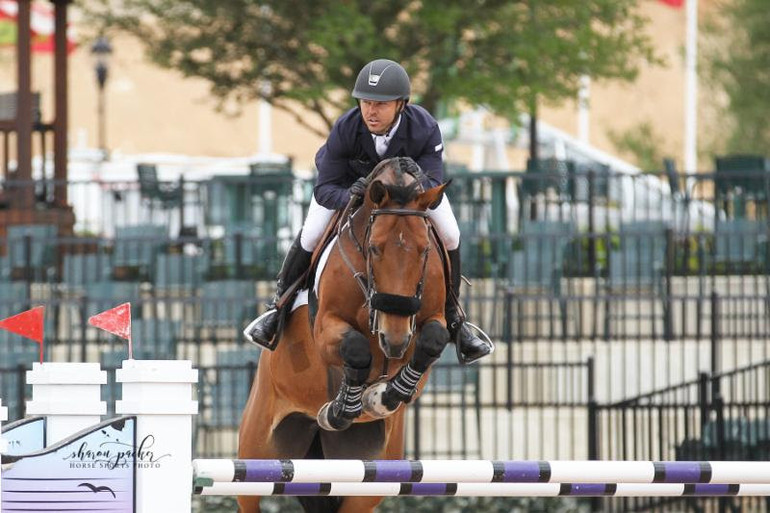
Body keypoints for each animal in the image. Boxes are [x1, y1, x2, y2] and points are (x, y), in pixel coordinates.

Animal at [237, 157, 448, 512]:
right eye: (374, 249)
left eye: (424, 251)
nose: (393, 339)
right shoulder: (326, 329)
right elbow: (356, 349)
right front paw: (341, 409)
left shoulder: (428, 321)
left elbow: (433, 340)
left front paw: (386, 396)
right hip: (257, 456)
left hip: (362, 482)